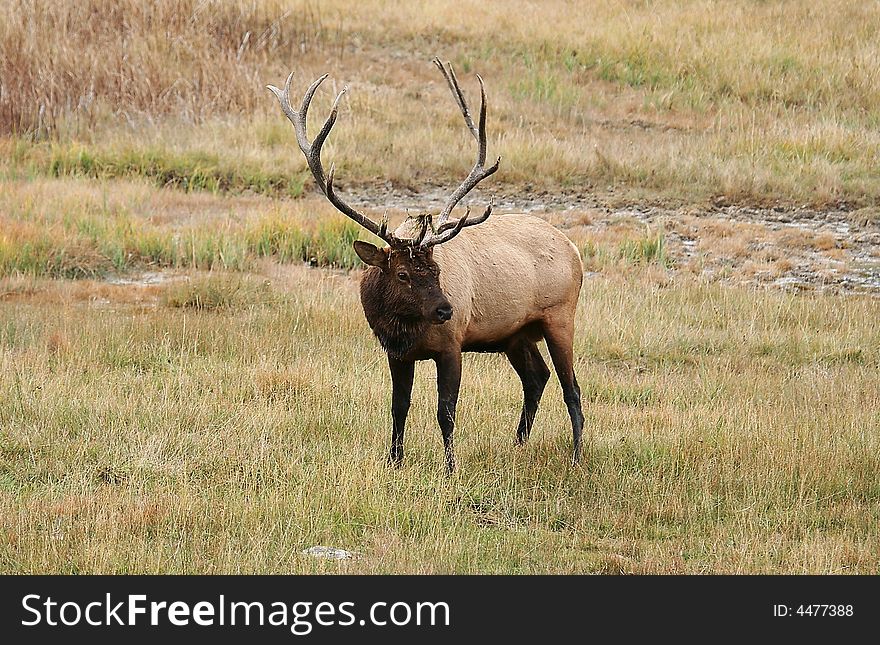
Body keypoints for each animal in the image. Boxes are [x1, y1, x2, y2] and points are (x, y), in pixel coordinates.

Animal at [268, 59, 584, 472]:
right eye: (402, 274)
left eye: (436, 272)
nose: (445, 309)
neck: (404, 327)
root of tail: (575, 251)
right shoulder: (396, 353)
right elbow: (398, 407)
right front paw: (394, 461)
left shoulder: (451, 346)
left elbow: (445, 412)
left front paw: (450, 468)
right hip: (515, 334)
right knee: (537, 377)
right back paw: (518, 444)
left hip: (560, 315)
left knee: (571, 388)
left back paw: (577, 456)